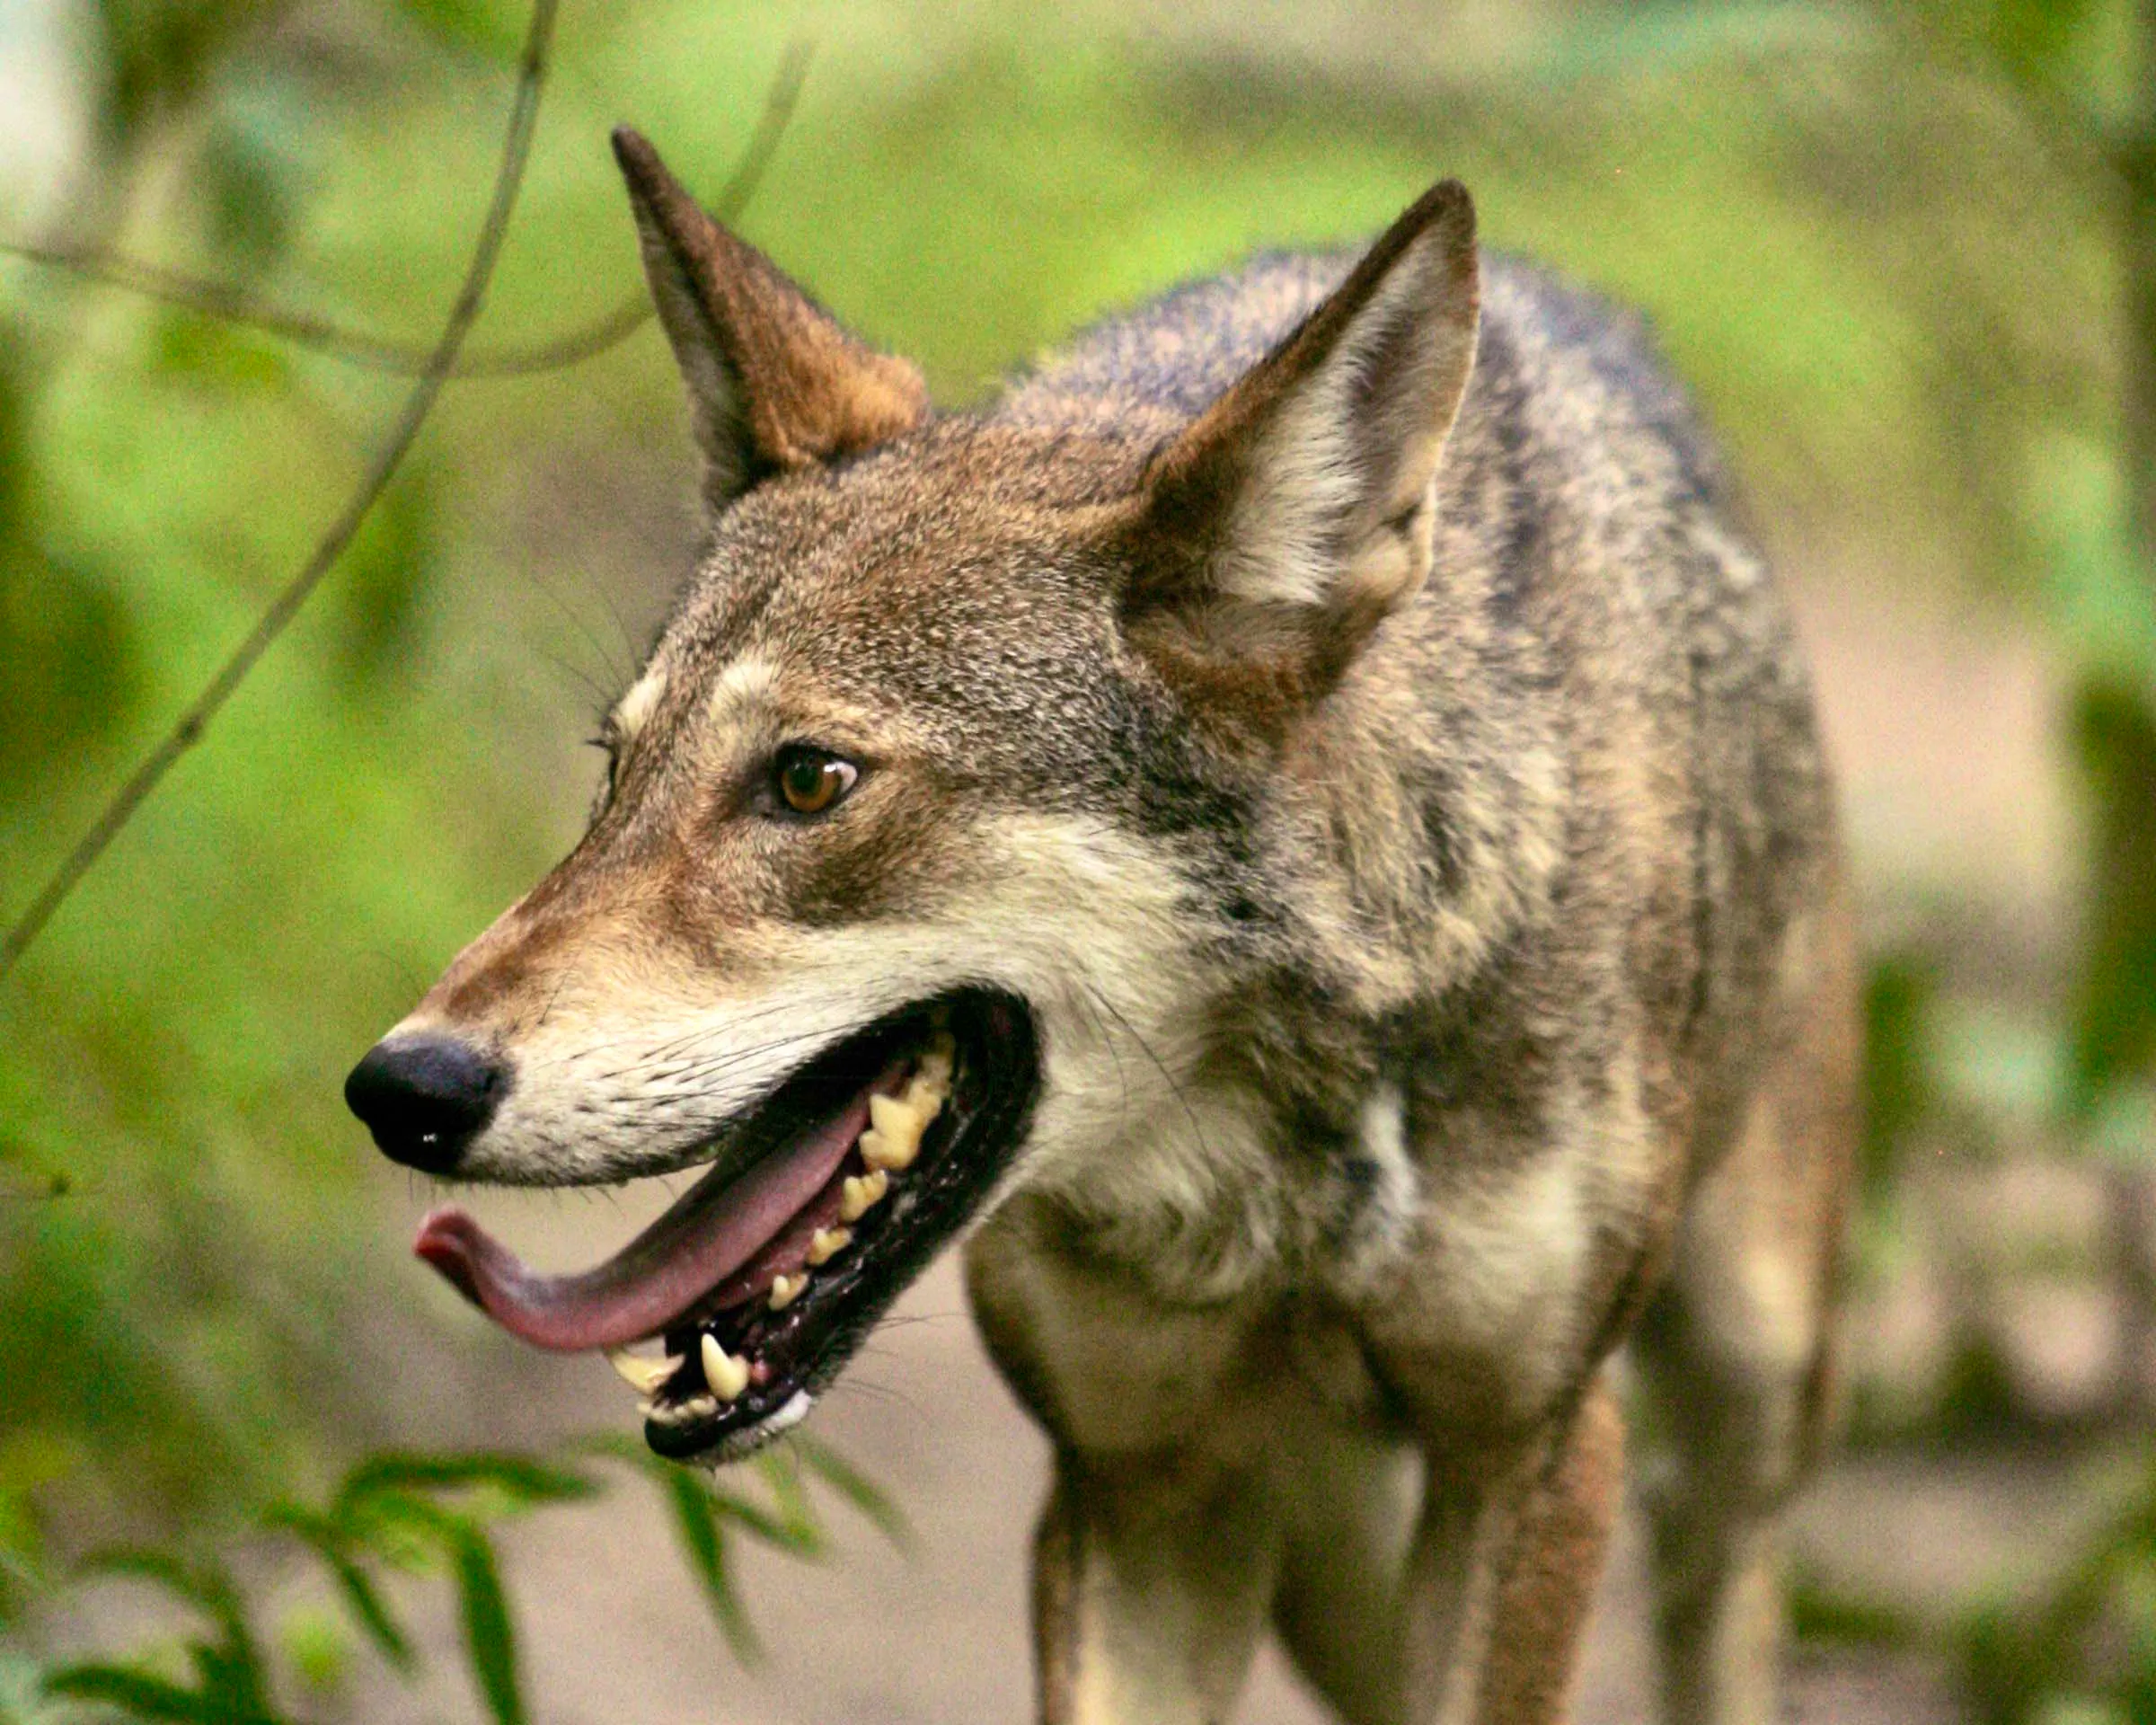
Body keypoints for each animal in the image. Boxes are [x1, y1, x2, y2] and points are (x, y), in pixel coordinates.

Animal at [344, 125, 1856, 1725]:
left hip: (1739, 1405)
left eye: (810, 782)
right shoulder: (1136, 1490)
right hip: (1328, 1552)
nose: (401, 1086)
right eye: (617, 772)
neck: (1289, 1157)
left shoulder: (1531, 1456)